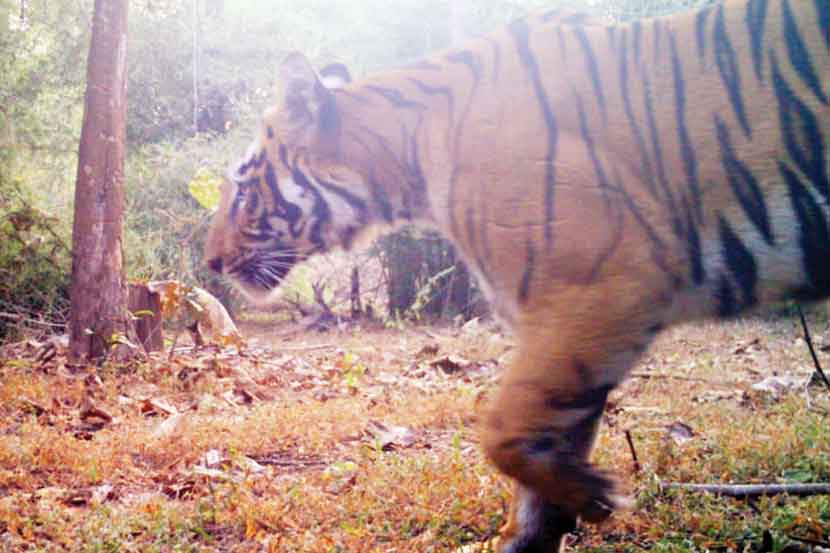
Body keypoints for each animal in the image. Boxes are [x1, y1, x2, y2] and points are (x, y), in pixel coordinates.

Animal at [203, 1, 830, 548]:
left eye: (243, 188)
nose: (209, 262)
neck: (410, 158)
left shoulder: (602, 288)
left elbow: (500, 428)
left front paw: (596, 494)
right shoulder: (570, 327)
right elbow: (532, 464)